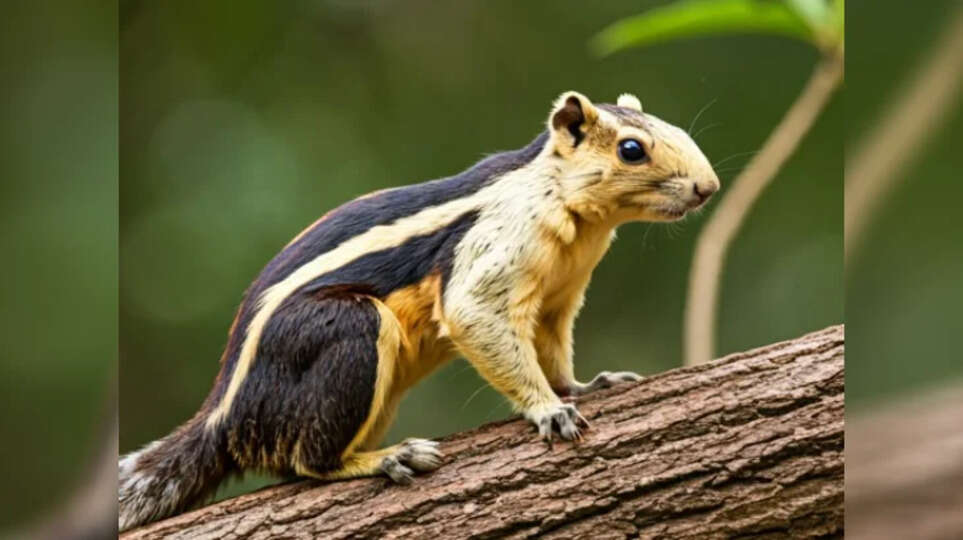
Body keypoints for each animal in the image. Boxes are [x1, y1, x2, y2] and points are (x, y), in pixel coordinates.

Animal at [119, 91, 720, 532]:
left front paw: (585, 385)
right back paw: (387, 459)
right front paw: (549, 410)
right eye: (632, 149)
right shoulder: (493, 253)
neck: (560, 200)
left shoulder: (558, 299)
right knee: (306, 462)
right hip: (350, 332)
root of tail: (225, 415)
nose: (709, 187)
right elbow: (477, 315)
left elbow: (552, 349)